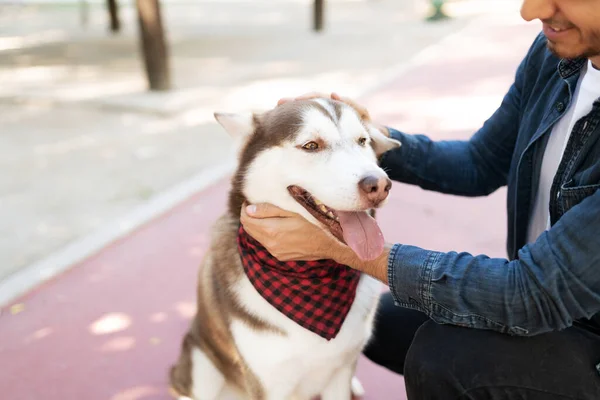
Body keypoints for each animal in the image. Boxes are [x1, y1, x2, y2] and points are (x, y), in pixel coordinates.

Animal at [169, 97, 400, 400]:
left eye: (362, 141)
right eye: (311, 145)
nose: (380, 185)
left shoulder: (340, 370)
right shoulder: (267, 383)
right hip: (200, 364)